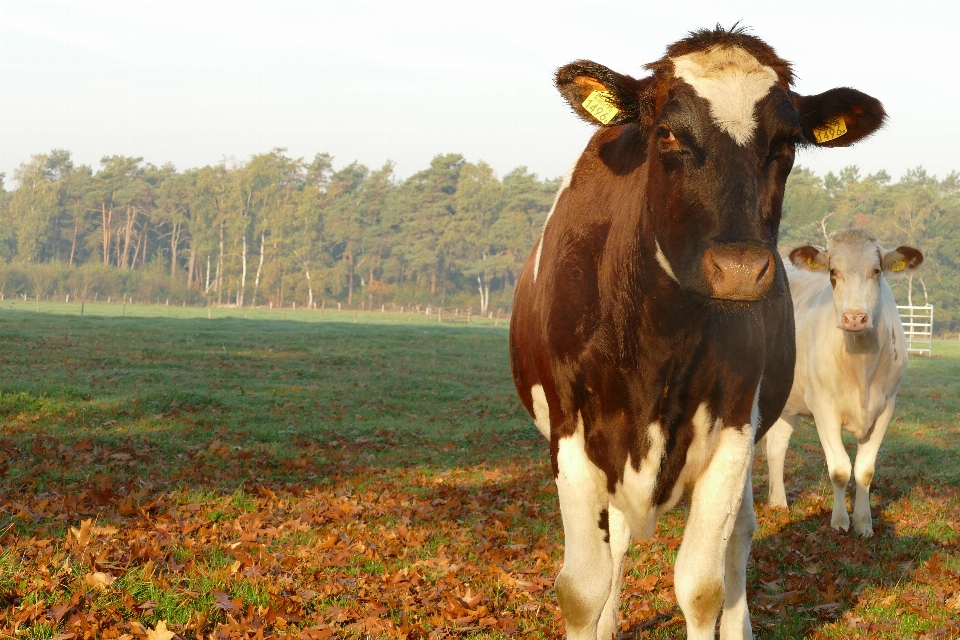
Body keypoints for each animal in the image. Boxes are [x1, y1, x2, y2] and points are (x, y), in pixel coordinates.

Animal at [510, 27, 884, 636]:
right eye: (666, 132)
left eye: (787, 144)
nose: (739, 268)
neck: (657, 338)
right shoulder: (571, 435)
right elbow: (582, 589)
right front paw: (600, 615)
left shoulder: (734, 425)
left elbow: (703, 587)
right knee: (617, 545)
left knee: (739, 539)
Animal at [764, 228, 924, 536]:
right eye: (832, 272)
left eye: (876, 270)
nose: (854, 317)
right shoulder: (823, 407)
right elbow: (839, 468)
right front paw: (839, 521)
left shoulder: (886, 406)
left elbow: (864, 470)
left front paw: (863, 523)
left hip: (789, 403)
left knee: (776, 444)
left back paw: (778, 502)